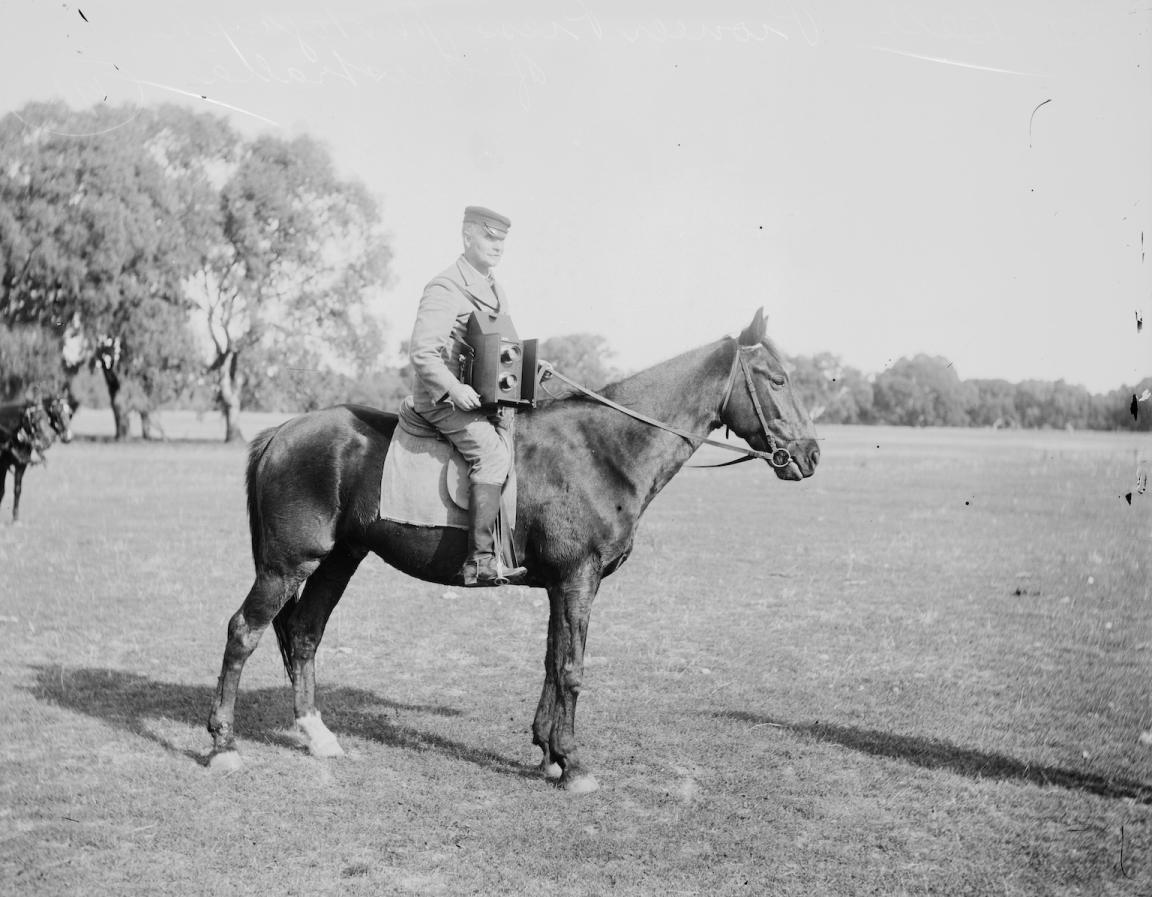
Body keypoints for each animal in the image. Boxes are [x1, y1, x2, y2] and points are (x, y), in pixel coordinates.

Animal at [0, 394, 74, 523]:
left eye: (70, 413)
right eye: (56, 413)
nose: (68, 437)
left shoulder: (21, 465)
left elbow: (17, 490)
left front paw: (15, 518)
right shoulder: (2, 466)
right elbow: (1, 491)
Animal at [207, 309, 820, 792]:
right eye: (776, 378)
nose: (810, 454)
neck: (604, 450)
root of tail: (282, 432)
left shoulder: (562, 585)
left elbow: (552, 660)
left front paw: (547, 752)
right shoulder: (578, 579)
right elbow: (571, 668)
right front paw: (572, 764)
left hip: (337, 561)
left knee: (304, 633)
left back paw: (317, 735)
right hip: (288, 565)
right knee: (244, 631)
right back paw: (223, 746)